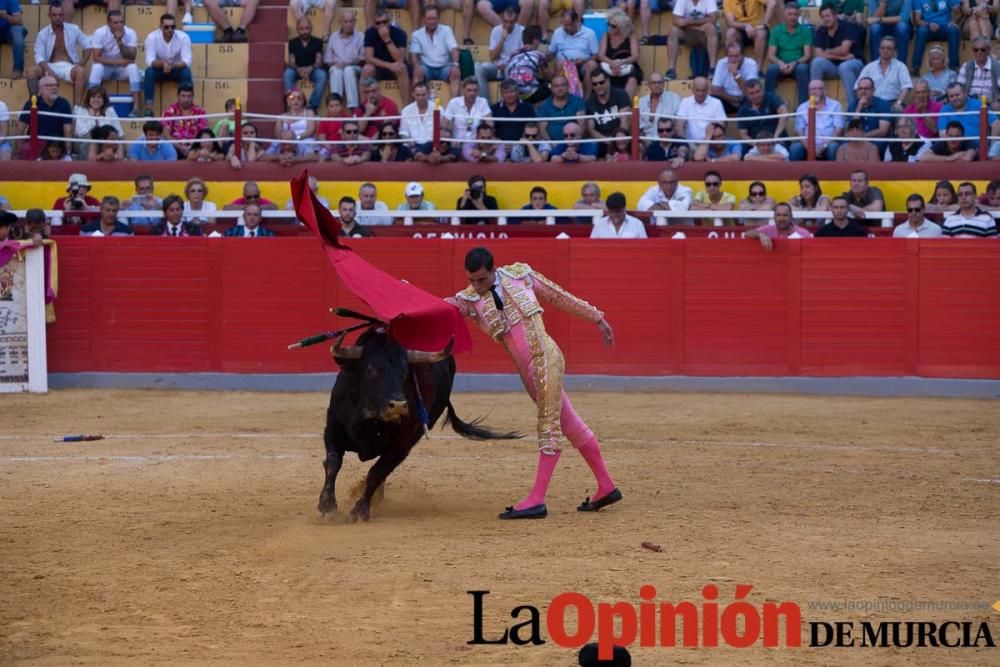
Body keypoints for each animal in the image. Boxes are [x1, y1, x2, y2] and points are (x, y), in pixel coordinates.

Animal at [320, 328, 524, 520]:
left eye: (404, 372)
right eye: (371, 370)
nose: (398, 405)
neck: (372, 416)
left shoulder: (402, 445)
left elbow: (377, 473)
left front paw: (360, 511)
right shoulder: (333, 426)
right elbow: (333, 462)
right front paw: (327, 507)